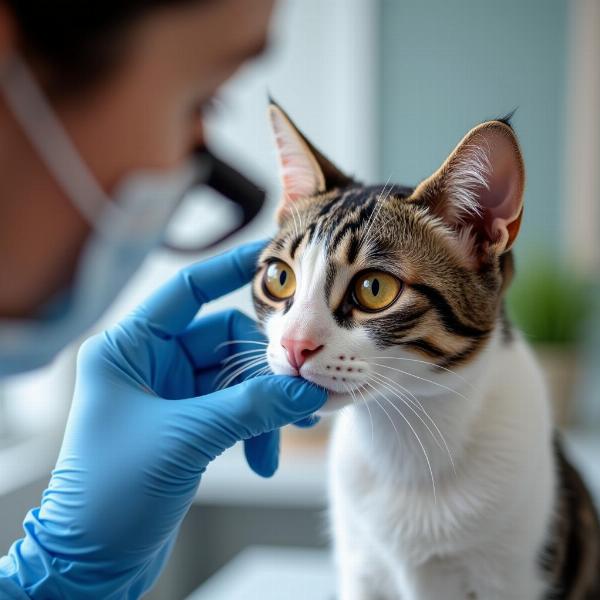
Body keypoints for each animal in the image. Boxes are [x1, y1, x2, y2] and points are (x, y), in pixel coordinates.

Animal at [250, 101, 600, 596]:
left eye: (374, 289)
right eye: (279, 278)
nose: (295, 344)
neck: (404, 435)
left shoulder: (514, 574)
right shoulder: (361, 570)